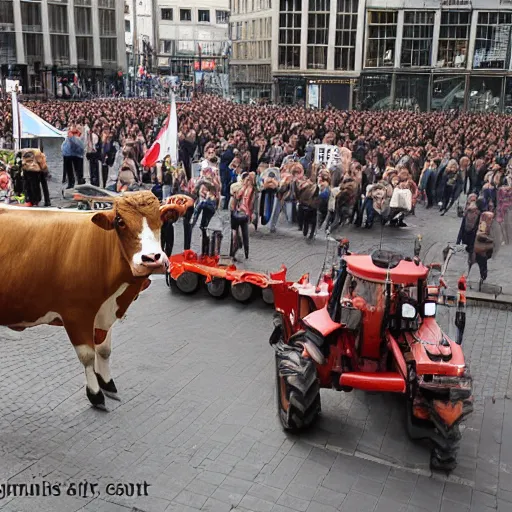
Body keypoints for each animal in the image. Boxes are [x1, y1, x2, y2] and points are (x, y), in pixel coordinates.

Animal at [0, 190, 180, 410]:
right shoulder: (76, 314)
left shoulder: (104, 313)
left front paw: (107, 383)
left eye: (161, 219)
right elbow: (87, 355)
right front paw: (95, 395)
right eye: (120, 222)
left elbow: (104, 350)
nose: (152, 258)